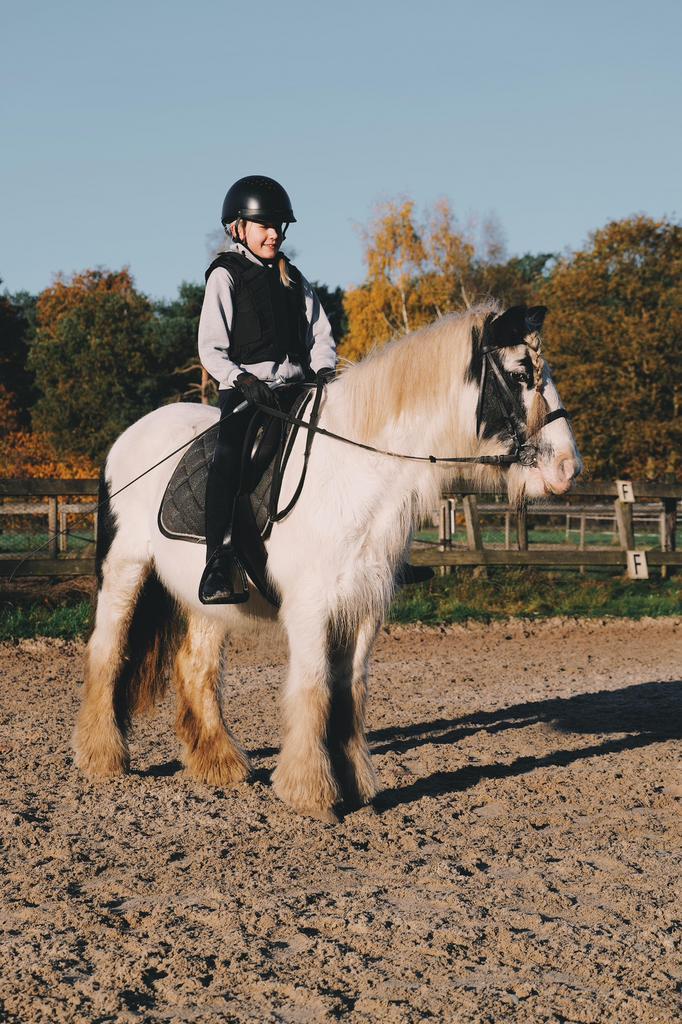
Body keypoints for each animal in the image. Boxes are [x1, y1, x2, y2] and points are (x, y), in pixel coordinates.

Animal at [73, 302, 582, 822]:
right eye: (521, 373)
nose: (568, 468)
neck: (354, 474)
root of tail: (130, 437)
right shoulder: (311, 607)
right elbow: (314, 689)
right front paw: (311, 792)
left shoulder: (364, 607)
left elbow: (349, 692)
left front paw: (355, 785)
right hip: (123, 571)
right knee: (108, 652)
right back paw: (101, 757)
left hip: (210, 597)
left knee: (197, 667)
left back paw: (219, 764)